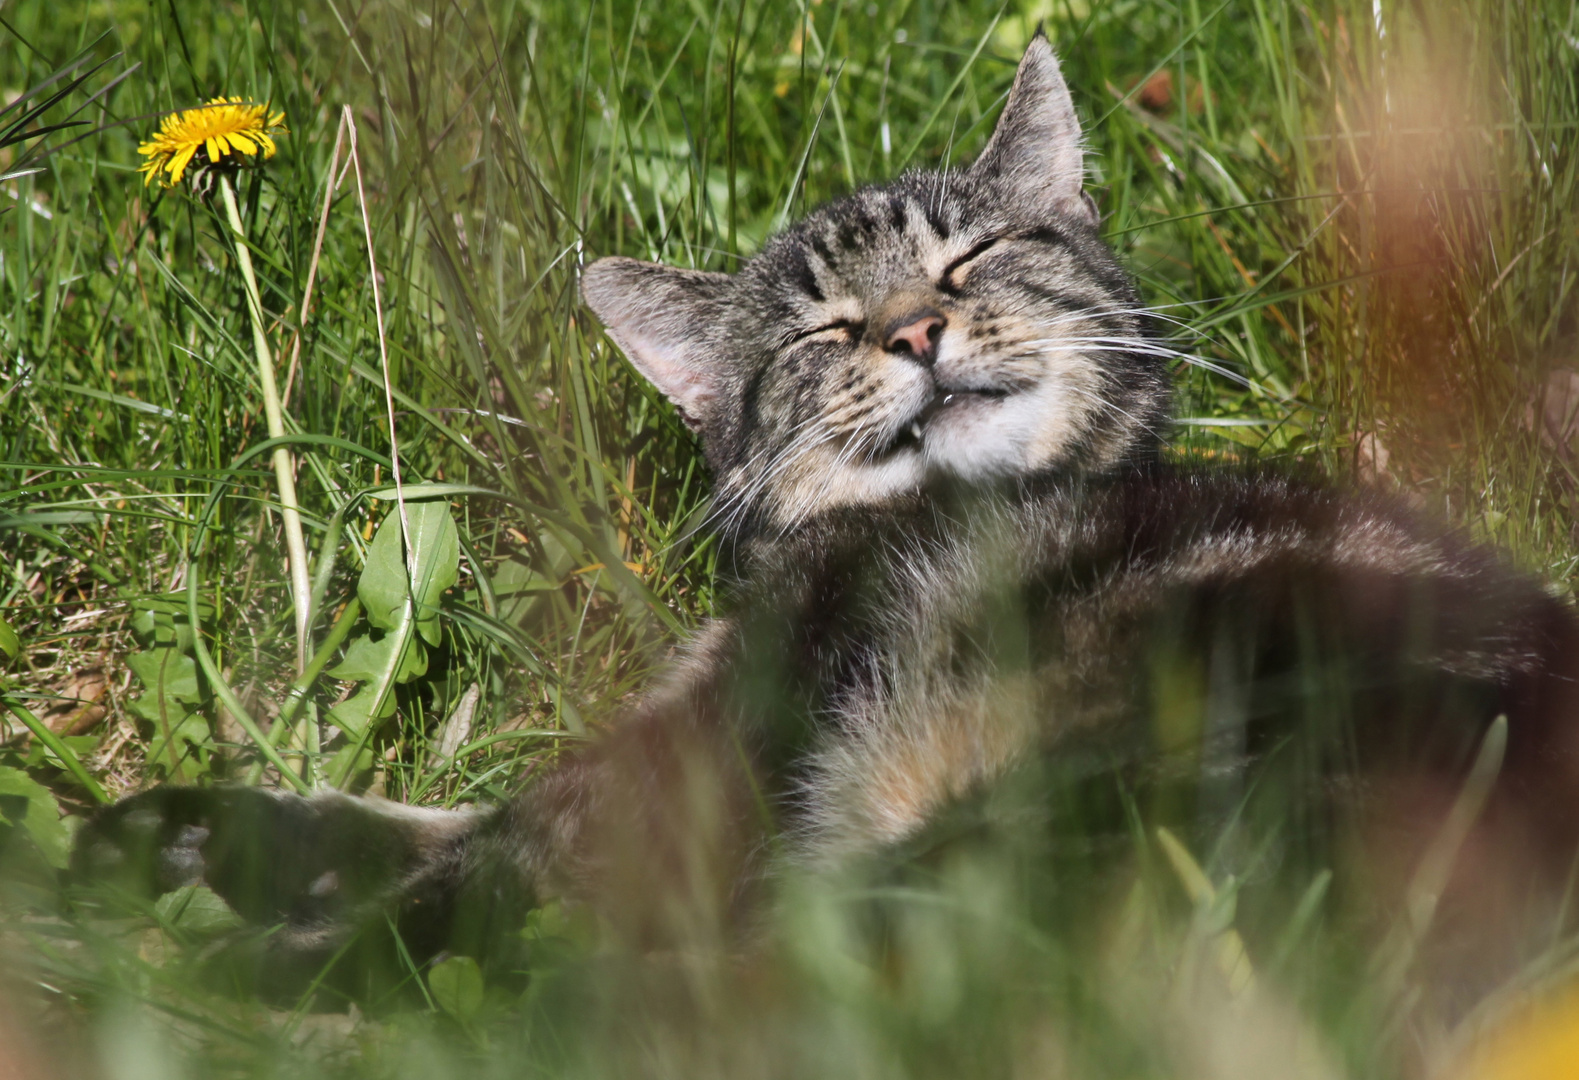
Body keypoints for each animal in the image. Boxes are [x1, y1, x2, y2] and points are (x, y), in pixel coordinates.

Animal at [71, 37, 1579, 1010]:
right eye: (822, 331)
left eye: (968, 260)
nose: (910, 331)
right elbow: (421, 816)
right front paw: (194, 837)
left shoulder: (709, 754)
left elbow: (478, 860)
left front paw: (297, 941)